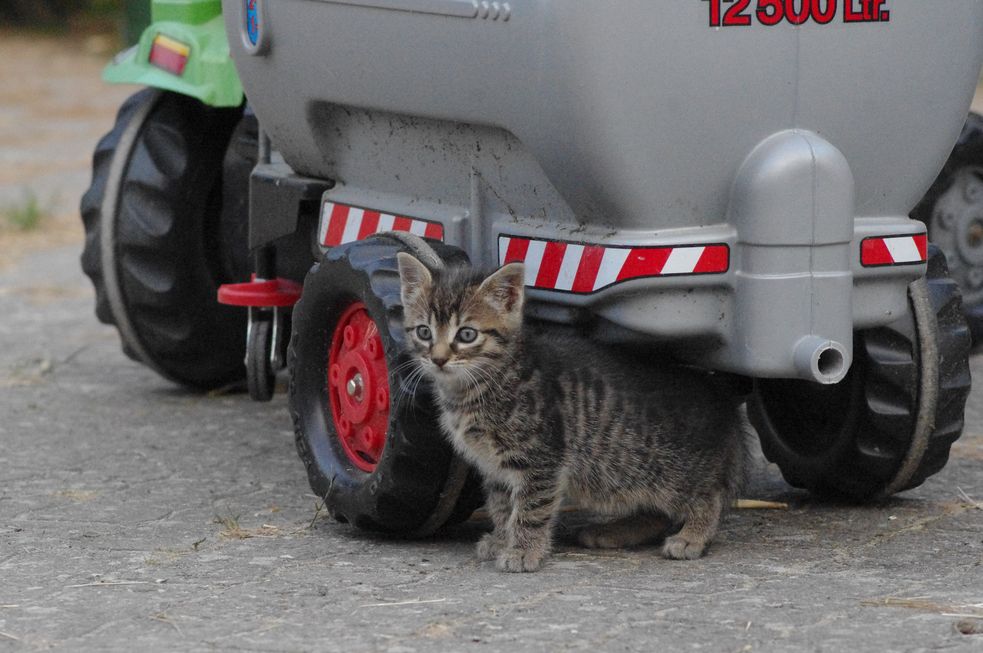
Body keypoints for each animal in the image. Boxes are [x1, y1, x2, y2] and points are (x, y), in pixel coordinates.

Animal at [396, 253, 748, 572]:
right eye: (424, 332)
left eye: (467, 334)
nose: (438, 359)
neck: (482, 384)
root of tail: (719, 391)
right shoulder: (494, 467)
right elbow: (502, 505)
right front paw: (502, 538)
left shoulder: (541, 460)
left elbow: (530, 508)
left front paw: (522, 551)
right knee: (656, 511)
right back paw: (614, 532)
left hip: (672, 468)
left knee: (709, 498)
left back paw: (692, 537)